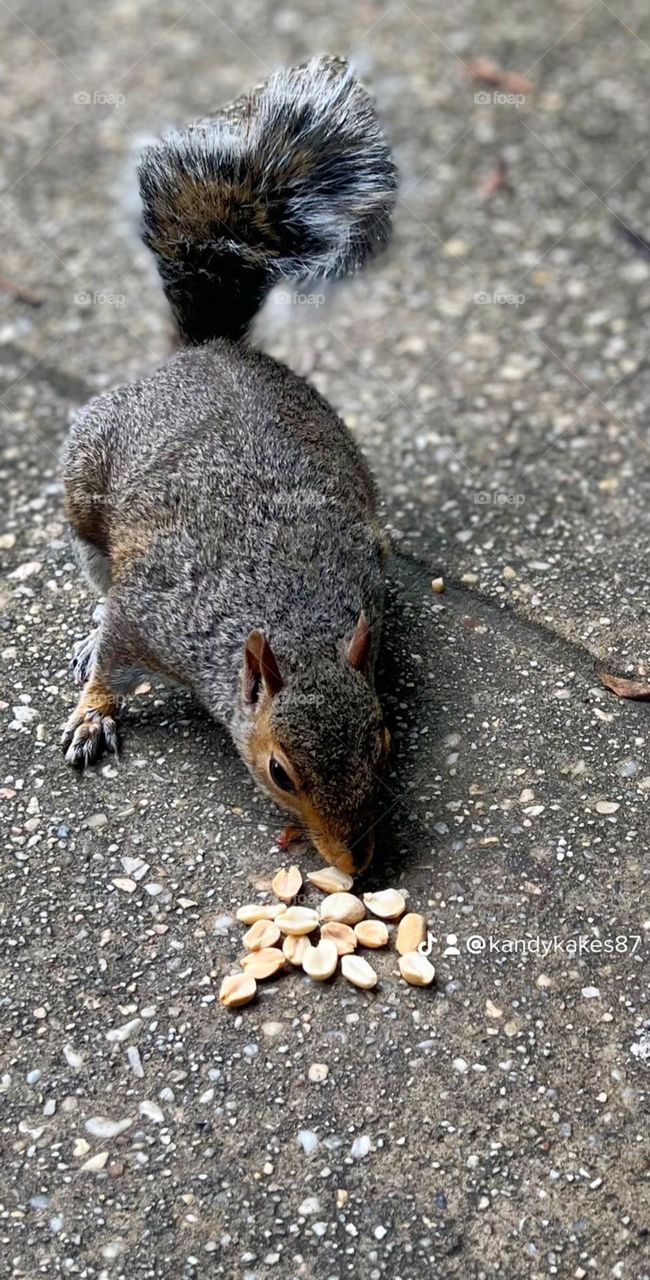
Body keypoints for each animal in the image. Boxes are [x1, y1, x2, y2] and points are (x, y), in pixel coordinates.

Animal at [61, 55, 397, 874]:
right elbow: (112, 656)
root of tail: (207, 351)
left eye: (382, 742)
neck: (293, 621)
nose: (354, 867)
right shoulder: (151, 617)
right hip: (85, 491)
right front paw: (94, 713)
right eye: (279, 772)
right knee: (95, 576)